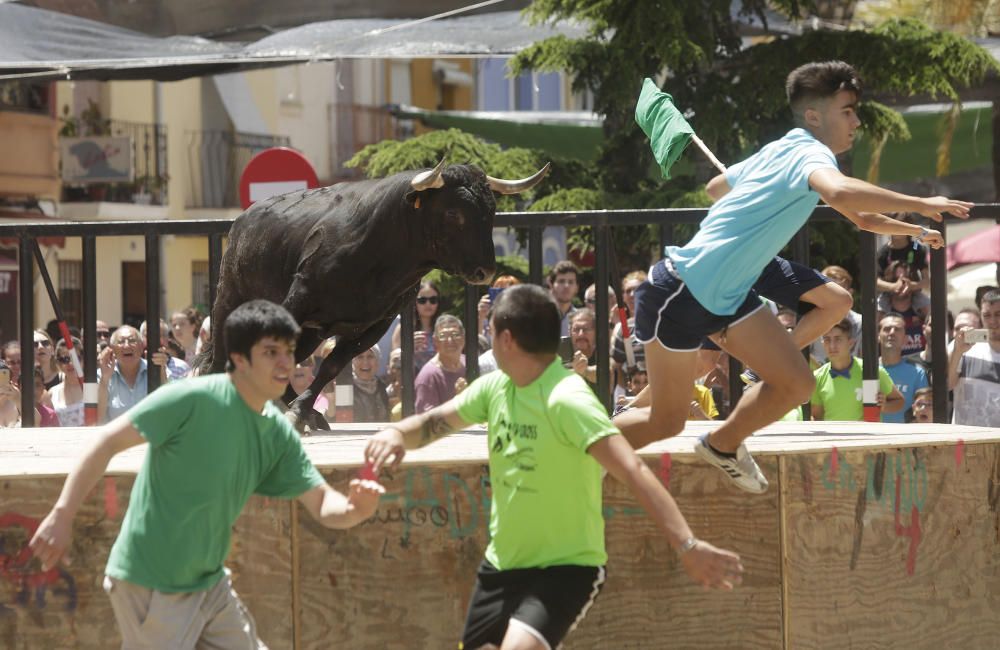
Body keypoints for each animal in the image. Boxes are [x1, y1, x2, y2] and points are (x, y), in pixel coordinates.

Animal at [200, 160, 552, 428]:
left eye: (490, 212)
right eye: (454, 213)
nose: (485, 271)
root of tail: (243, 220)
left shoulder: (374, 323)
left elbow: (331, 364)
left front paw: (302, 411)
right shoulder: (300, 299)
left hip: (312, 332)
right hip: (229, 300)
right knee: (220, 358)